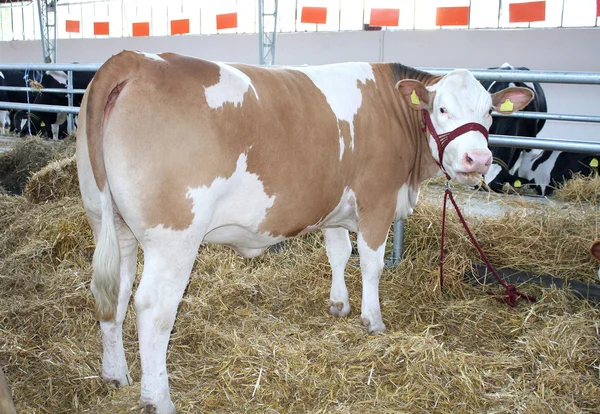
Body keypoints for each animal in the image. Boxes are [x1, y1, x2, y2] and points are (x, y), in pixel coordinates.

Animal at [76, 50, 536, 412]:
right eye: (442, 109)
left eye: (489, 112)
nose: (479, 159)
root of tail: (135, 60)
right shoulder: (377, 200)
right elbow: (370, 264)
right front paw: (372, 320)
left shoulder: (333, 205)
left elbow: (338, 252)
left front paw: (339, 305)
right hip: (174, 235)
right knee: (154, 308)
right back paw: (159, 399)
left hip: (109, 221)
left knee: (113, 294)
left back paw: (115, 374)